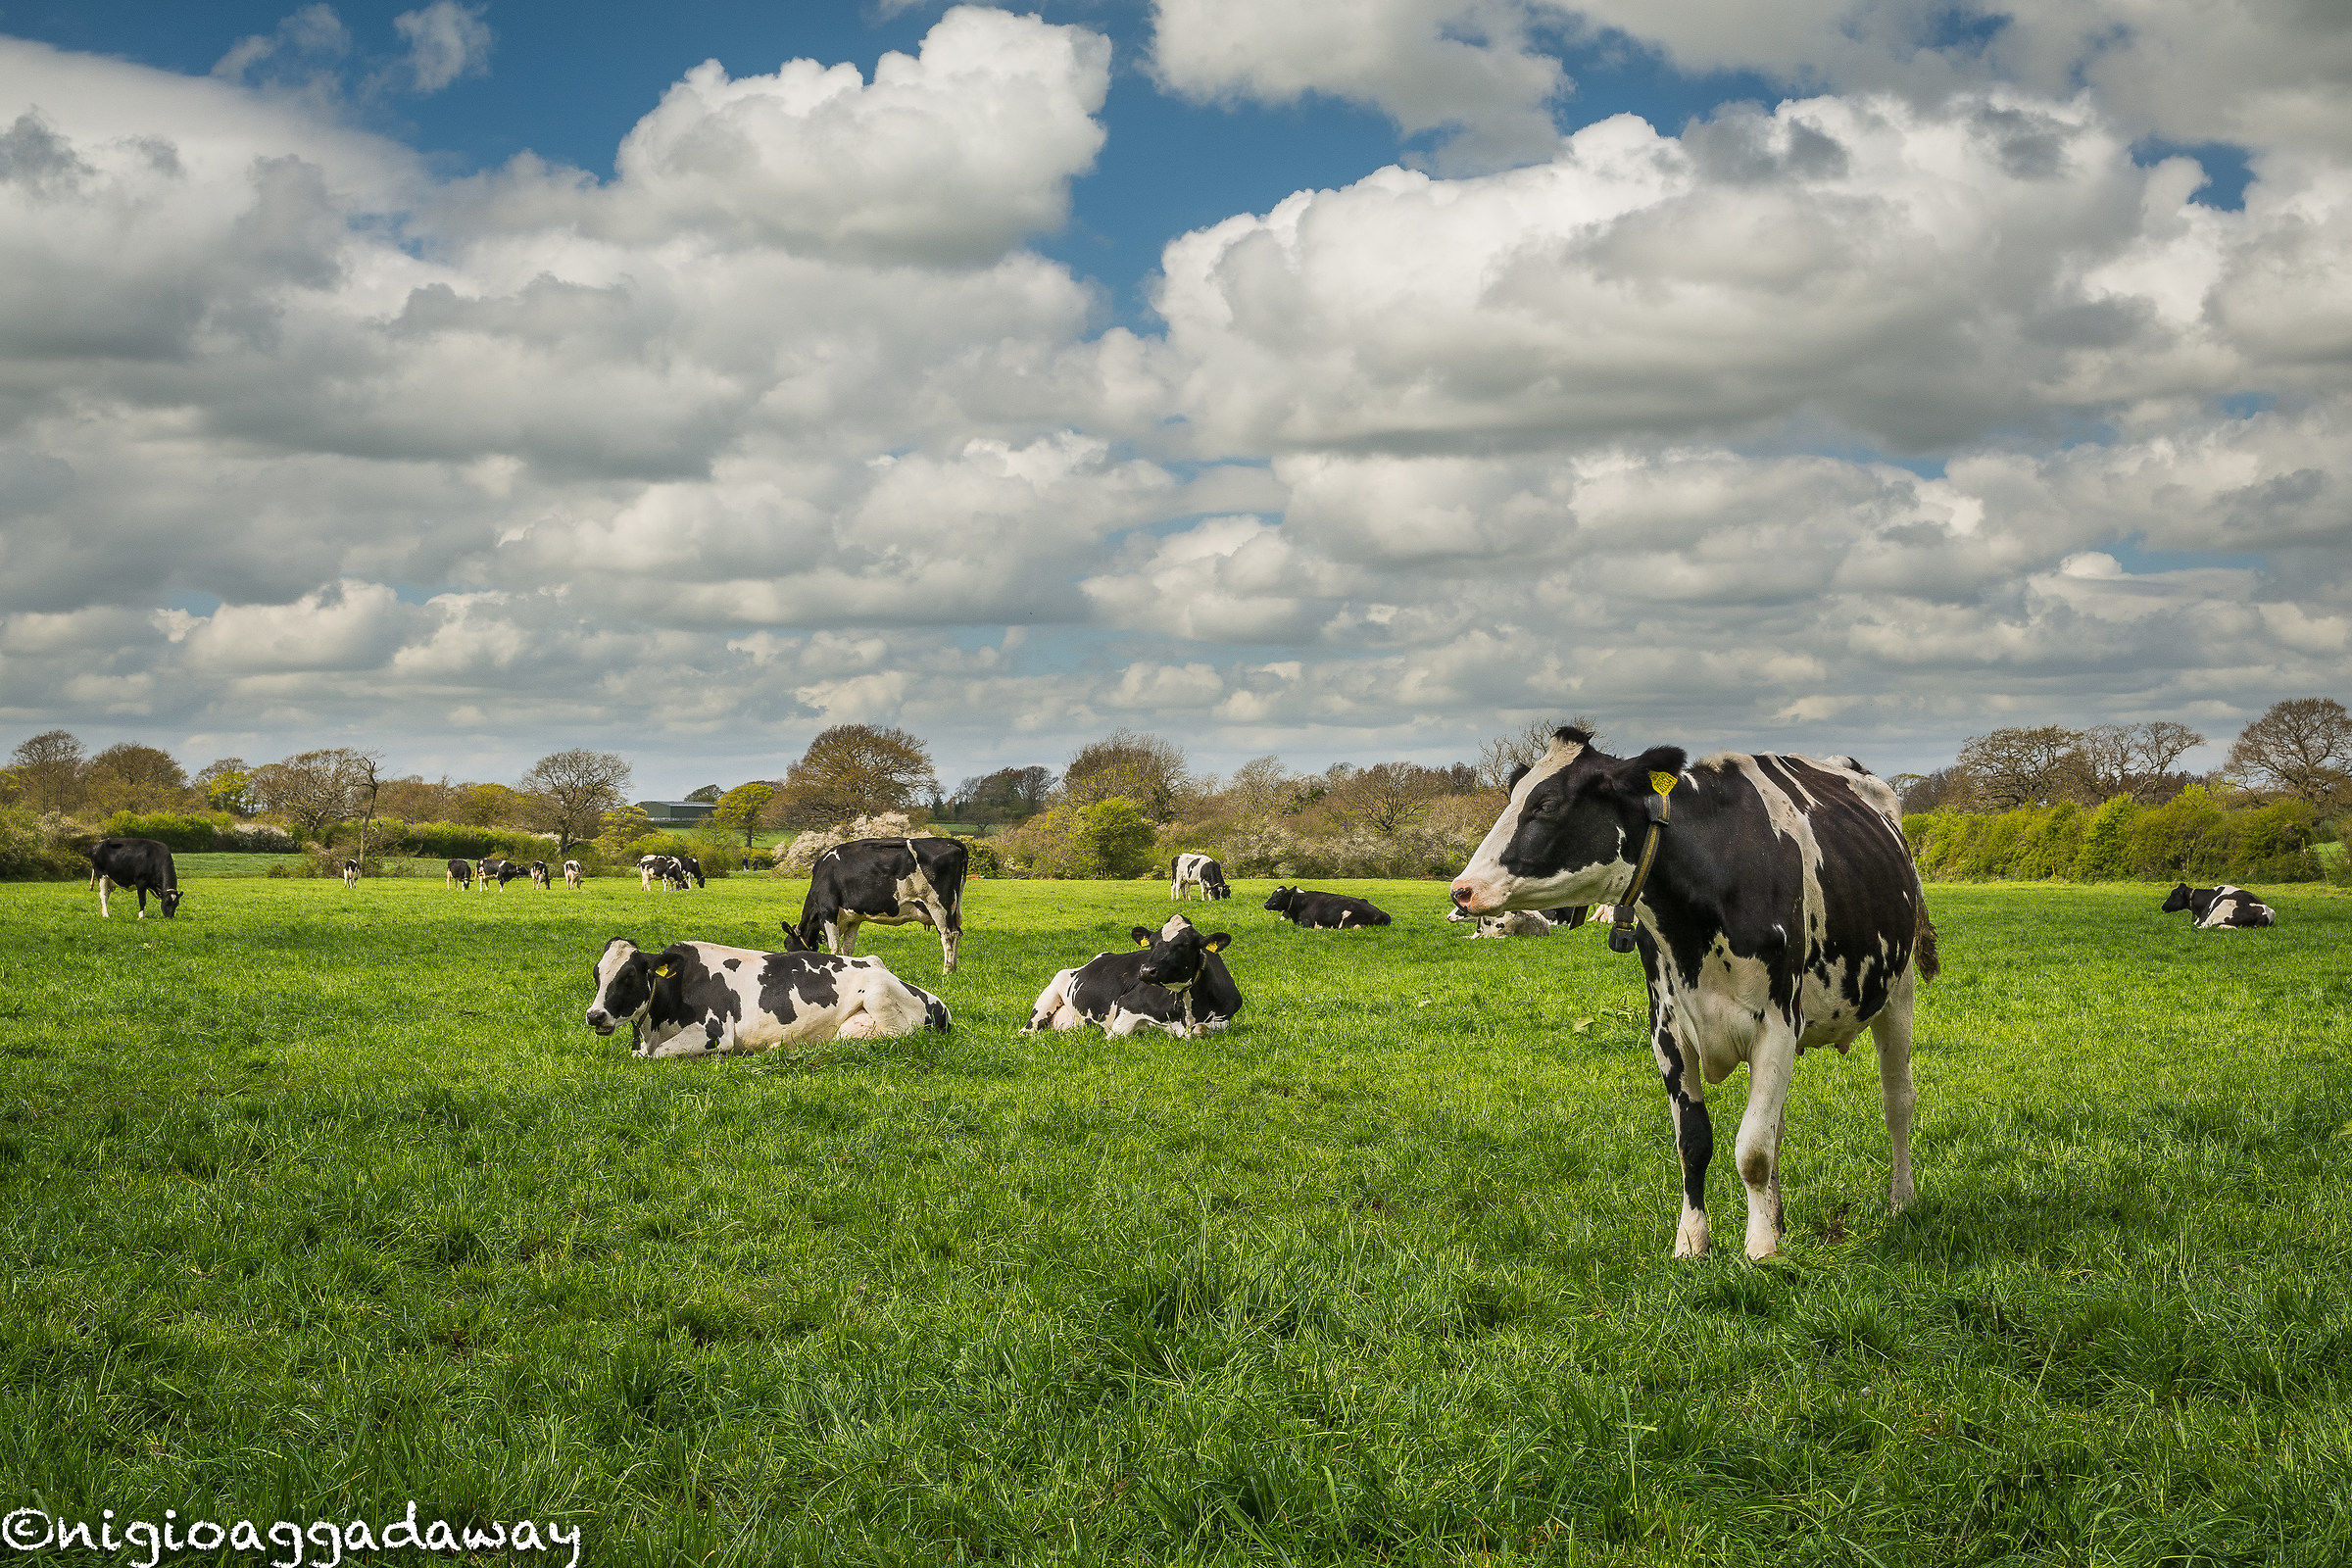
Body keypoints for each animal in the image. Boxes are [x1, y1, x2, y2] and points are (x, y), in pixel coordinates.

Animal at [585, 937, 950, 1059]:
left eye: (629, 976)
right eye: (596, 974)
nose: (594, 1015)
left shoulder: (715, 1033)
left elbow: (661, 1054)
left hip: (879, 996)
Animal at [791, 837, 968, 976]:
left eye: (789, 945)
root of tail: (947, 841)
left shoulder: (828, 911)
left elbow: (833, 947)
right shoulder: (854, 919)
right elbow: (847, 949)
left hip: (937, 905)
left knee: (948, 935)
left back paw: (947, 971)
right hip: (953, 909)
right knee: (957, 933)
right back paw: (954, 969)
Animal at [1021, 914, 1241, 1038]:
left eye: (1184, 944)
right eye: (1152, 943)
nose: (1145, 971)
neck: (1186, 1010)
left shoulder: (1225, 1018)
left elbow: (1201, 1029)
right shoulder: (1128, 1005)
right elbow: (1115, 1034)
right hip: (1049, 994)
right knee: (1029, 1029)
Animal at [1450, 726, 1937, 1262]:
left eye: (1547, 804)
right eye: (1514, 796)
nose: (1461, 890)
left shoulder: (1778, 1022)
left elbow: (1752, 1148)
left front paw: (1760, 1248)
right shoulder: (1668, 1029)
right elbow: (1696, 1142)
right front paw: (1693, 1241)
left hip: (1899, 992)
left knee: (1897, 1100)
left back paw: (1901, 1200)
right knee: (1777, 1124)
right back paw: (1779, 1219)